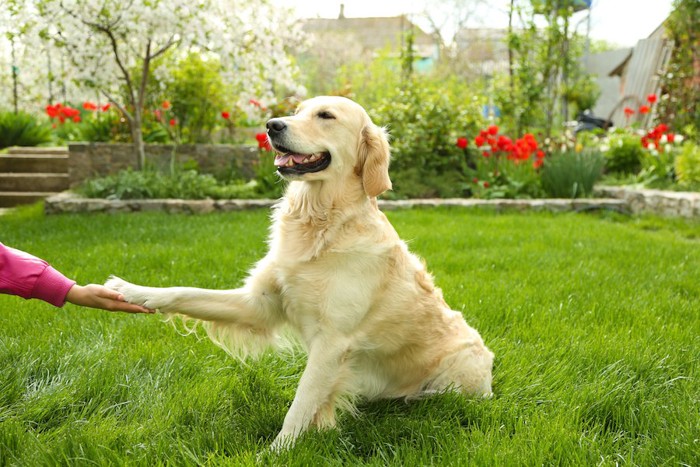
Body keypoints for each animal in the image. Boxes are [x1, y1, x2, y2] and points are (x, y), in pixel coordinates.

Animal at [106, 95, 494, 450]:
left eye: (326, 116)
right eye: (297, 110)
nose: (272, 125)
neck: (319, 222)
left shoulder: (333, 341)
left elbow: (300, 403)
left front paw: (277, 451)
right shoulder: (260, 304)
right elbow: (184, 292)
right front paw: (130, 289)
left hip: (459, 373)